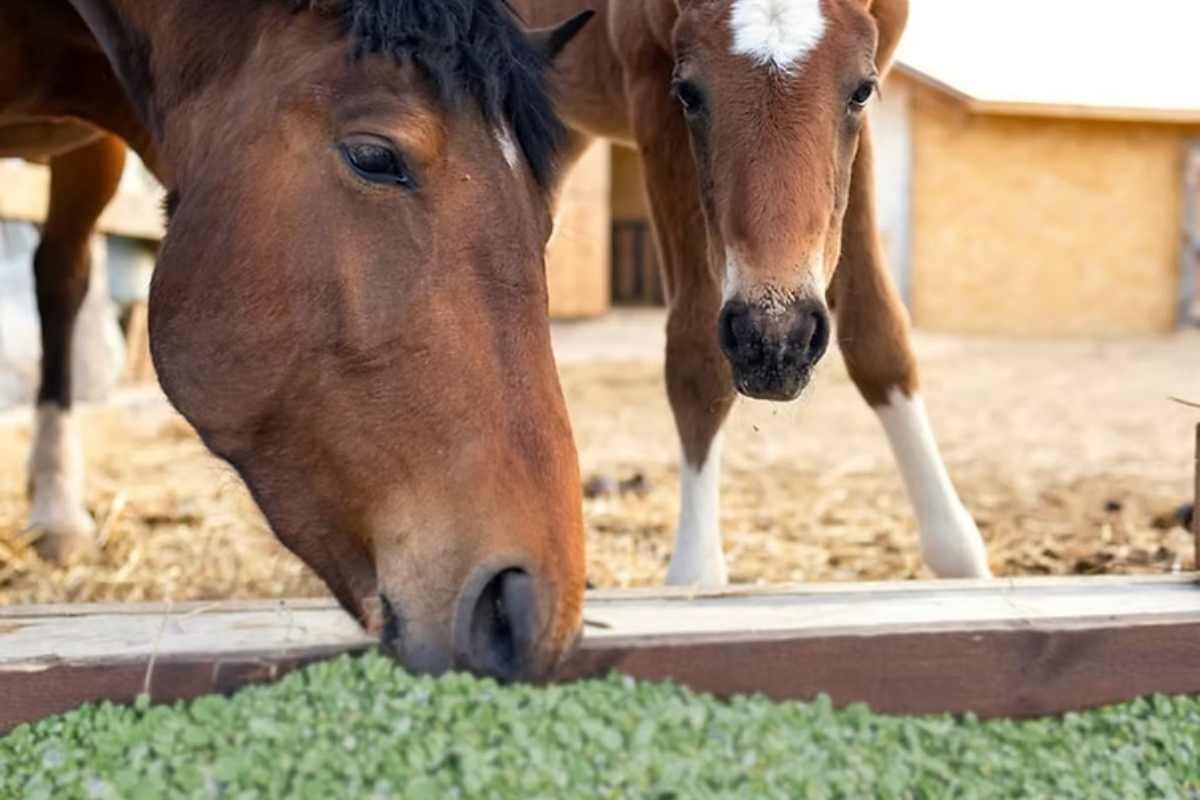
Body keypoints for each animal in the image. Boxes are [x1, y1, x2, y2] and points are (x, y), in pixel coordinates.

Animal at [514, 0, 992, 585]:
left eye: (861, 90)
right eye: (688, 93)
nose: (776, 342)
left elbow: (879, 334)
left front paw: (960, 558)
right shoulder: (650, 89)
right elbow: (697, 358)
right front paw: (695, 576)